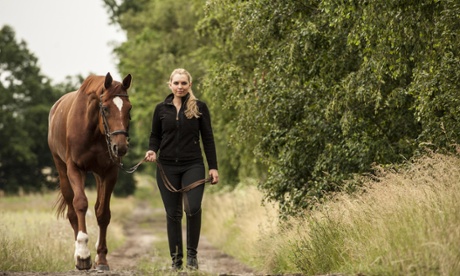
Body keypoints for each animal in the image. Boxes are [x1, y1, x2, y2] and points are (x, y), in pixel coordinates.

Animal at [47, 71, 132, 270]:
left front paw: (101, 258)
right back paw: (78, 253)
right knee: (72, 212)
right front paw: (83, 255)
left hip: (98, 175)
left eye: (129, 109)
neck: (93, 130)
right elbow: (80, 204)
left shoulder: (109, 172)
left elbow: (103, 213)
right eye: (106, 108)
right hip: (62, 169)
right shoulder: (75, 169)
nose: (120, 147)